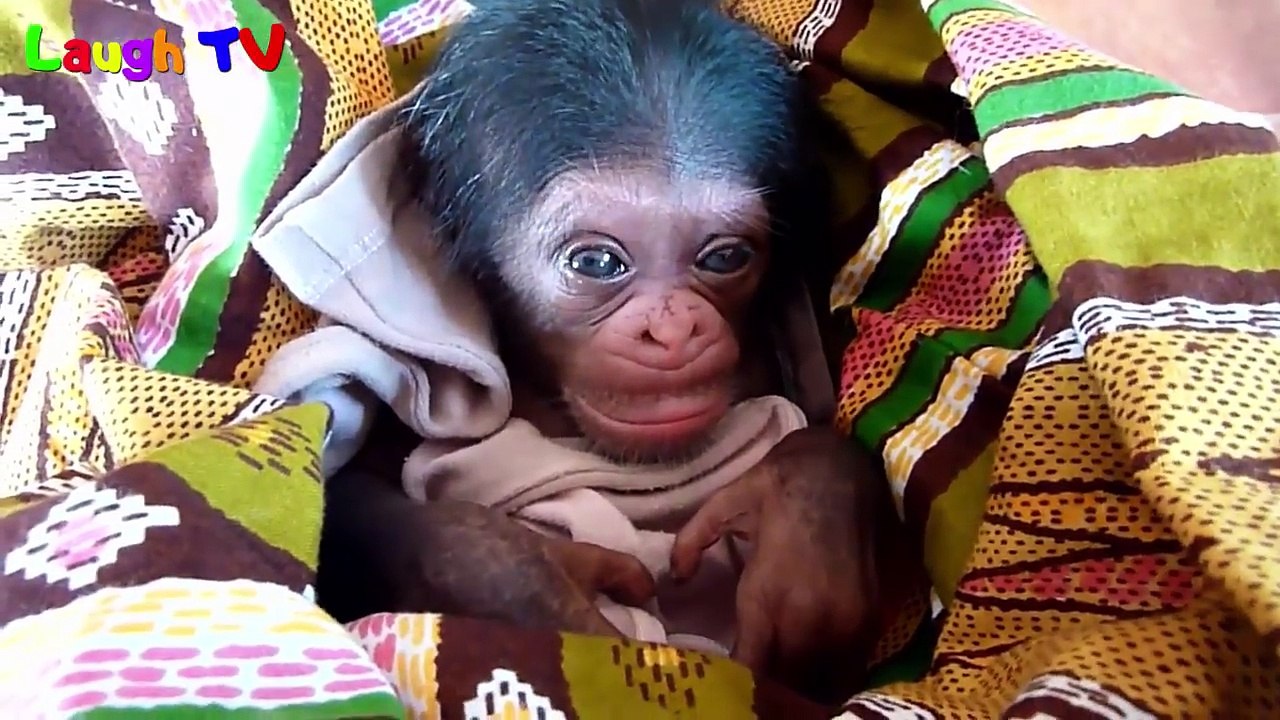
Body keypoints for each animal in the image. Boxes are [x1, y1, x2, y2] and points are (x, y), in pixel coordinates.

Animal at [315, 0, 924, 705]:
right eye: (598, 262)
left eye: (725, 257)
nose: (675, 329)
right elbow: (348, 497)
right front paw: (520, 583)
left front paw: (805, 538)